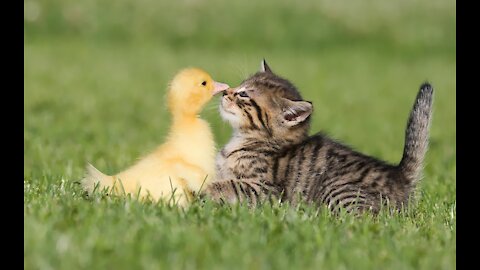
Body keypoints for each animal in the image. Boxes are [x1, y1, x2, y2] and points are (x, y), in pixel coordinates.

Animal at [204, 60, 434, 213]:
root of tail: (399, 176)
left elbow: (224, 185)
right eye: (238, 85)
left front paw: (201, 191)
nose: (225, 92)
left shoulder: (265, 191)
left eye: (244, 94)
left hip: (337, 190)